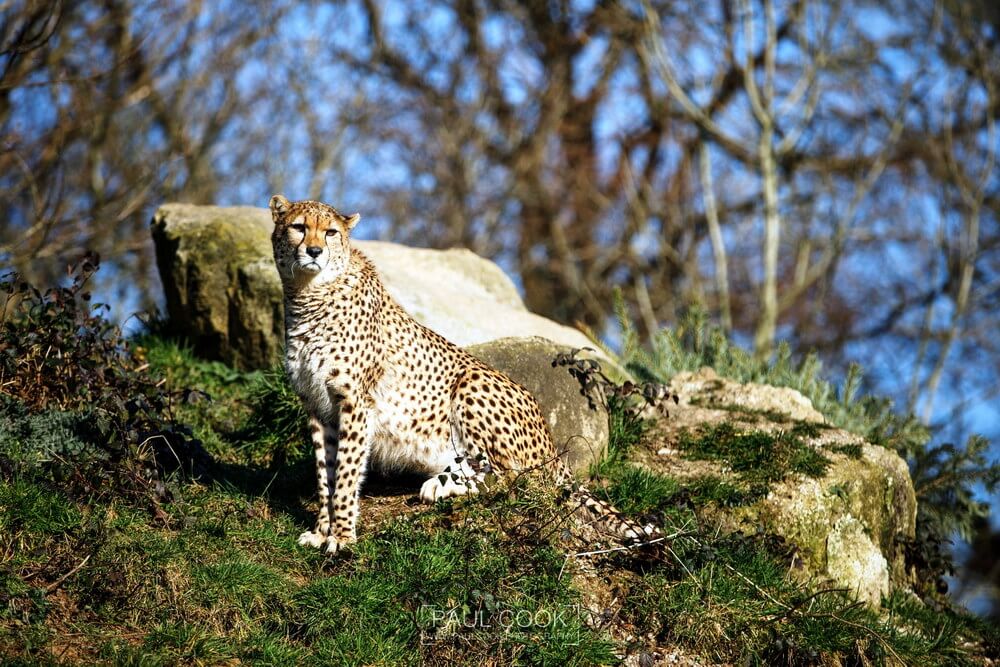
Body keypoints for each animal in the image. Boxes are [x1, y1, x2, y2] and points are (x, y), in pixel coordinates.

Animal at [270, 193, 656, 552]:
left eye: (331, 232)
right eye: (299, 227)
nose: (314, 251)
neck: (310, 293)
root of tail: (550, 439)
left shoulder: (354, 402)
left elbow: (347, 473)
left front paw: (342, 536)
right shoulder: (317, 407)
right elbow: (325, 475)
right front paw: (321, 531)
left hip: (470, 383)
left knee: (515, 480)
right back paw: (441, 483)